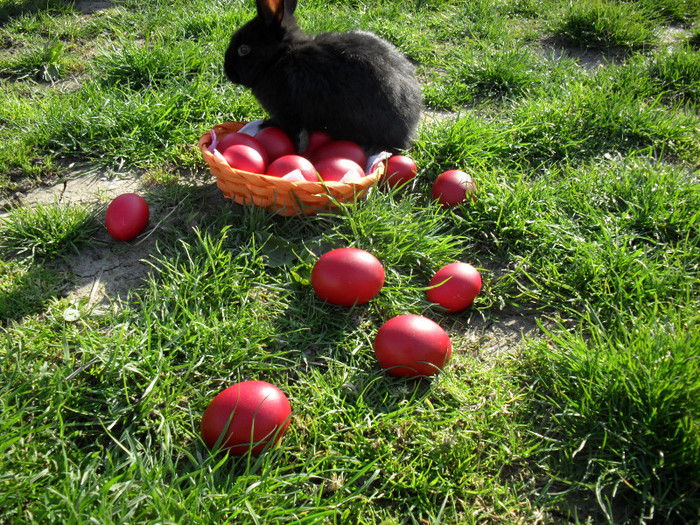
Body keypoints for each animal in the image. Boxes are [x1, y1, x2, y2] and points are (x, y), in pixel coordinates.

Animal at [224, 0, 422, 154]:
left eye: (244, 49)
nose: (227, 71)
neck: (280, 57)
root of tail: (408, 131)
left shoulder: (290, 114)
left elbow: (298, 133)